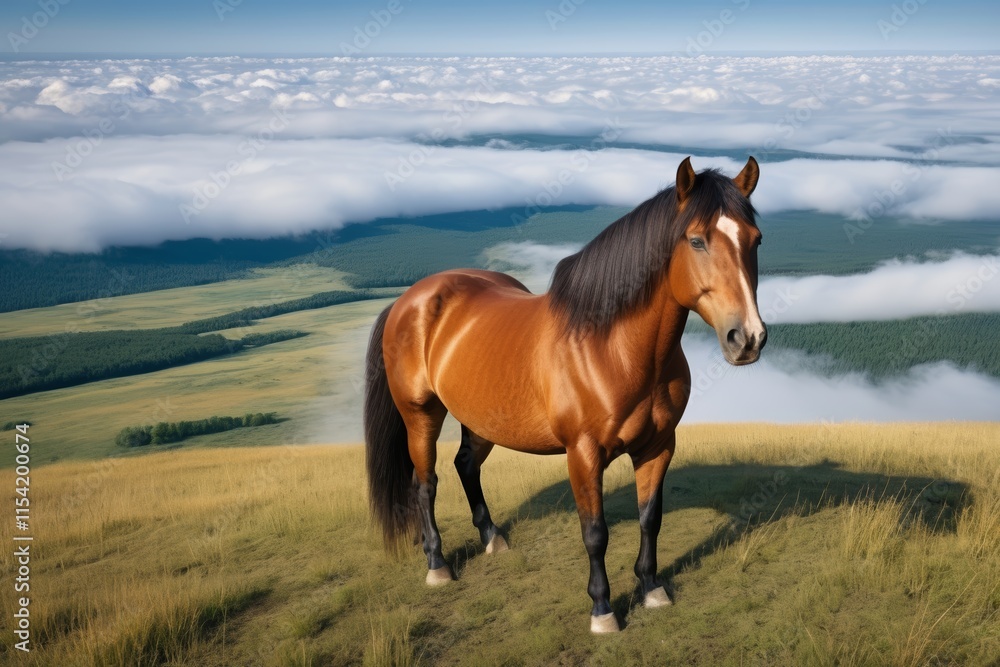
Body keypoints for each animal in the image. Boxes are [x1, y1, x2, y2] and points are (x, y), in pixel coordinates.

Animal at [363, 156, 765, 633]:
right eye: (697, 240)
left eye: (756, 239)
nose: (748, 338)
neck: (611, 347)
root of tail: (408, 300)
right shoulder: (583, 455)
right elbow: (595, 533)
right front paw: (603, 609)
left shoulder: (658, 446)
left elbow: (650, 518)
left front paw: (652, 588)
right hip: (421, 414)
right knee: (425, 485)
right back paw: (438, 564)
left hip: (481, 418)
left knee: (465, 466)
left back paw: (493, 538)